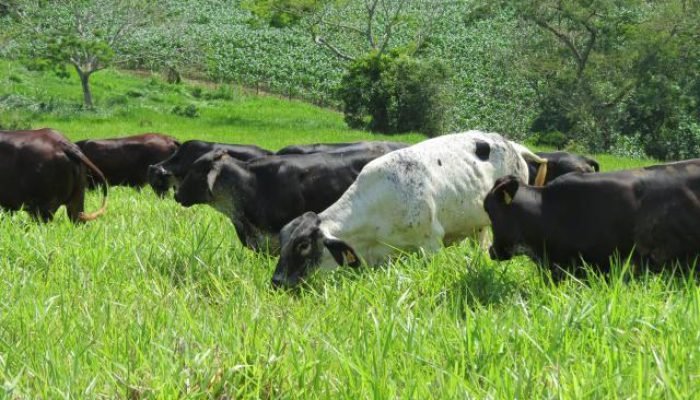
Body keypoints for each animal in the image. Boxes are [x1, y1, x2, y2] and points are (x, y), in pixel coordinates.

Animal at [271, 131, 549, 288]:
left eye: (303, 245)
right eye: (282, 241)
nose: (277, 282)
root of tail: (513, 145)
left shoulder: (431, 244)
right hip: (479, 225)